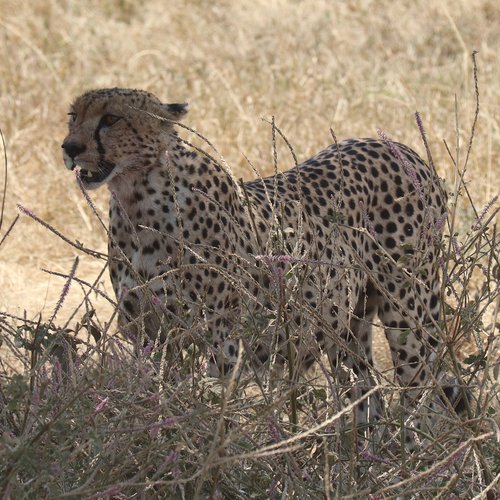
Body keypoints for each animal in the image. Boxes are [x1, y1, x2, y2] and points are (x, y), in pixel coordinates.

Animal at [62, 88, 464, 444]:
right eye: (73, 116)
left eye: (111, 119)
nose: (70, 148)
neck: (137, 201)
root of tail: (400, 148)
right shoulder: (149, 335)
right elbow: (157, 399)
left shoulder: (221, 341)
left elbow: (210, 408)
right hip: (346, 323)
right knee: (369, 392)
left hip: (408, 313)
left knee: (422, 391)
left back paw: (412, 455)